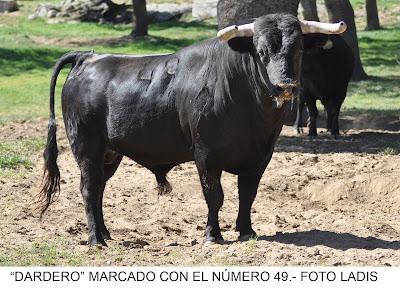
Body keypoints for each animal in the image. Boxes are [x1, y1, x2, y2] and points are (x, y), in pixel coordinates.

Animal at [39, 12, 348, 243]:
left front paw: (246, 231)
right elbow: (214, 195)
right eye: (261, 51)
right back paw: (95, 239)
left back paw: (105, 232)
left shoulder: (260, 157)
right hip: (86, 147)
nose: (286, 85)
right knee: (89, 188)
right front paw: (213, 235)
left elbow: (247, 195)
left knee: (100, 188)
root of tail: (87, 57)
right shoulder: (206, 155)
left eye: (298, 50)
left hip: (110, 153)